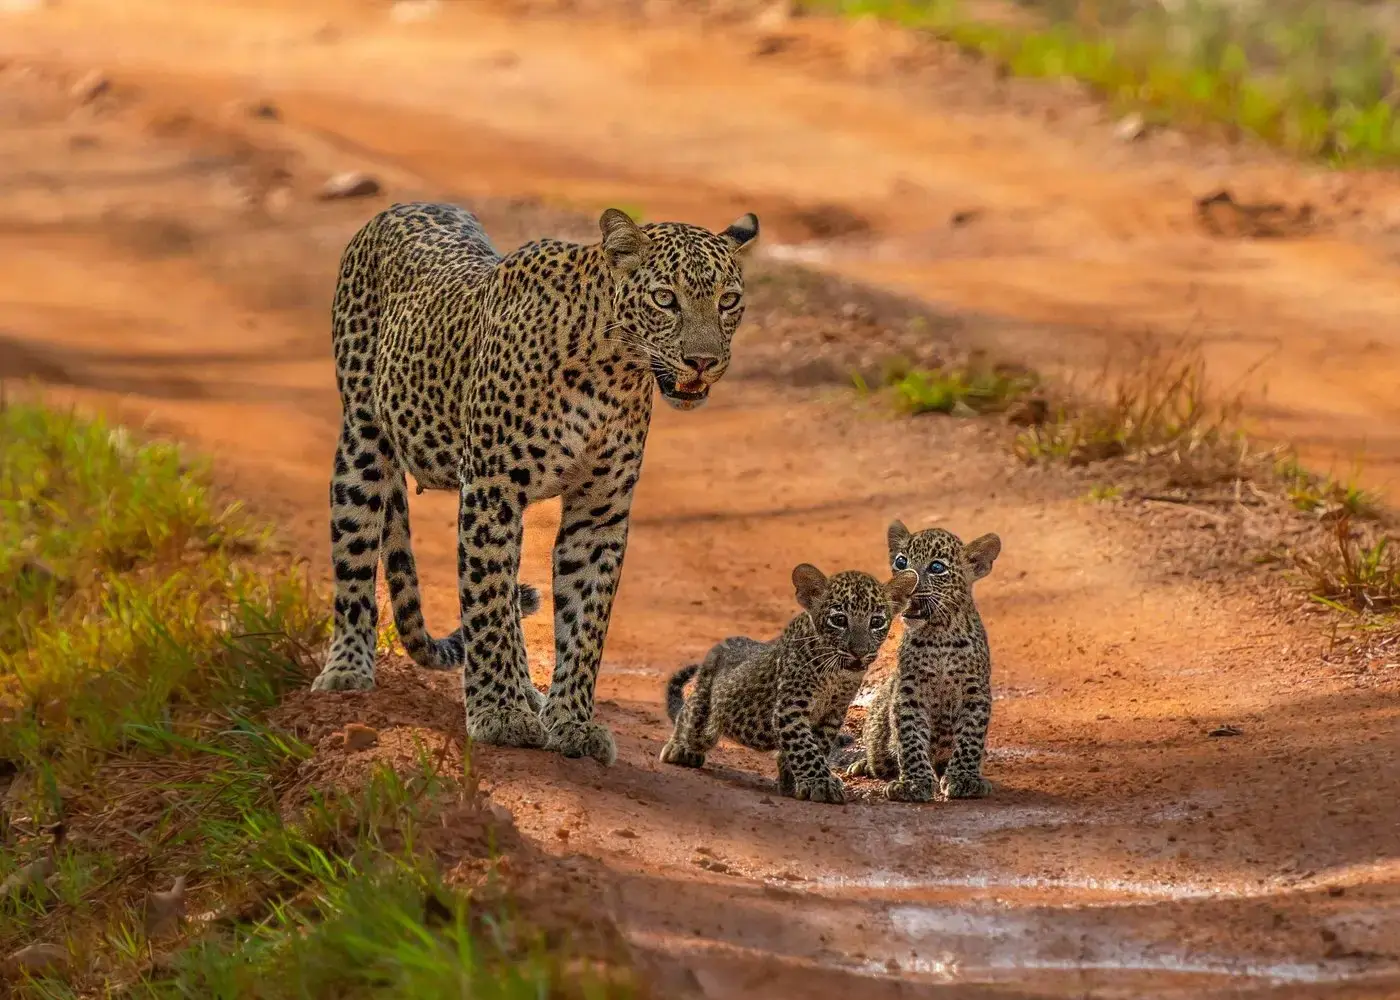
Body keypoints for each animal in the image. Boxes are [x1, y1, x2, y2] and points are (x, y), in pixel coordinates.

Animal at [309, 201, 759, 768]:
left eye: (728, 300)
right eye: (665, 298)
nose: (704, 362)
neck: (611, 373)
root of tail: (401, 206)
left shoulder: (599, 513)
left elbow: (585, 623)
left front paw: (572, 722)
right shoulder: (492, 490)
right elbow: (487, 606)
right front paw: (498, 714)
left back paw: (530, 693)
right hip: (363, 442)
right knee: (357, 563)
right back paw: (347, 669)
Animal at [660, 564, 918, 804]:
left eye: (876, 622)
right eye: (839, 620)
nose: (859, 652)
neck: (836, 674)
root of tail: (718, 646)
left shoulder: (832, 714)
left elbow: (817, 745)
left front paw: (792, 782)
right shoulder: (790, 708)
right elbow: (804, 747)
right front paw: (821, 784)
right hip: (704, 709)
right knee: (689, 715)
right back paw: (679, 749)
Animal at [847, 521, 1001, 802]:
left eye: (936, 567)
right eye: (901, 561)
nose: (907, 582)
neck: (938, 635)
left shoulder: (976, 691)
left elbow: (970, 737)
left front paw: (964, 778)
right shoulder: (908, 690)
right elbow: (910, 737)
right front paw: (913, 783)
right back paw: (863, 764)